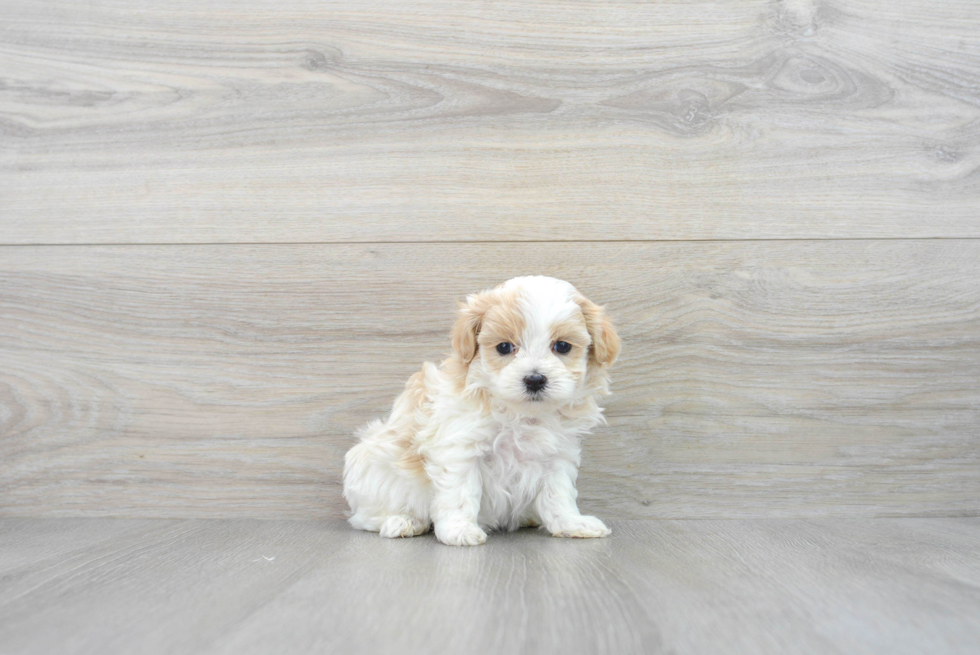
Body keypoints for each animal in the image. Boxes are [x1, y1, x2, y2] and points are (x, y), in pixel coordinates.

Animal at [344, 276, 620, 548]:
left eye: (562, 346)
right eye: (504, 347)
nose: (535, 379)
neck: (521, 414)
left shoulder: (558, 455)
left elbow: (559, 494)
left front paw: (571, 523)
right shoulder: (460, 449)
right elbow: (460, 493)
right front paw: (459, 530)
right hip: (374, 471)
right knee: (366, 516)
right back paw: (403, 520)